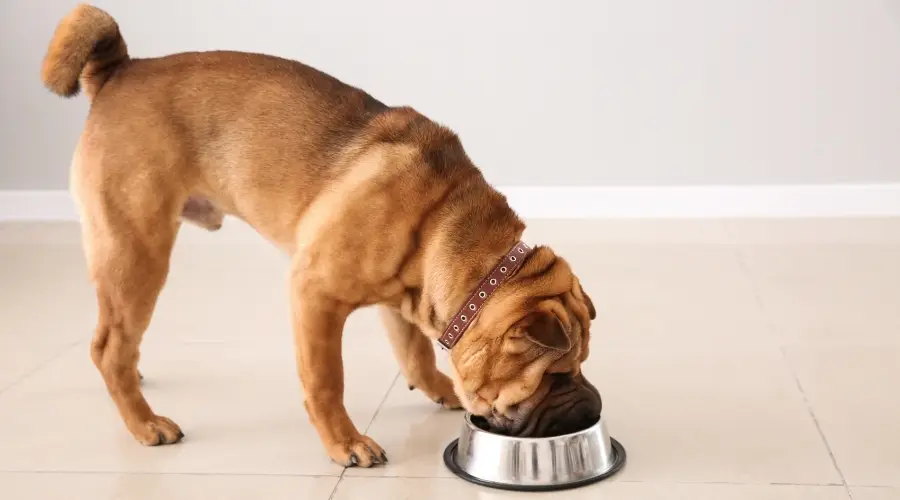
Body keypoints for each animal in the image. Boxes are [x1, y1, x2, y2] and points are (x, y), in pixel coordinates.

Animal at [44, 3, 604, 466]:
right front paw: (346, 443)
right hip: (136, 250)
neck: (447, 224)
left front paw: (440, 387)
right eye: (556, 375)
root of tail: (119, 71)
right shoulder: (316, 296)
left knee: (119, 342)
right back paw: (145, 423)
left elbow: (416, 355)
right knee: (107, 346)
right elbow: (326, 379)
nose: (589, 405)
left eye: (582, 365)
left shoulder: (404, 299)